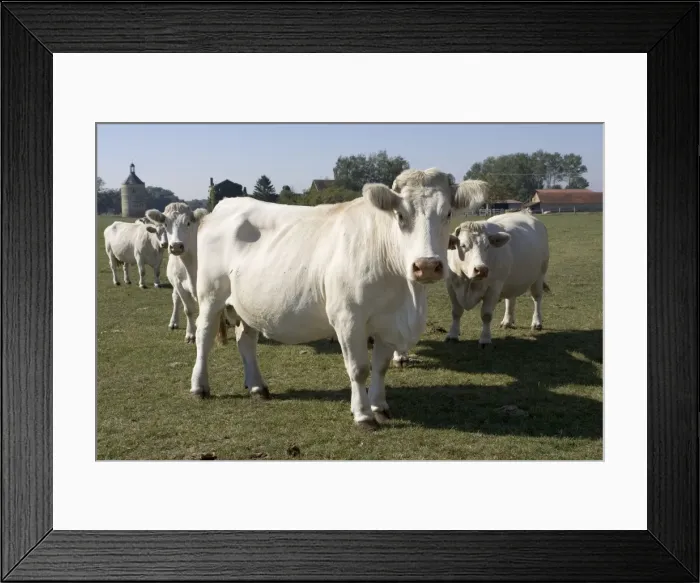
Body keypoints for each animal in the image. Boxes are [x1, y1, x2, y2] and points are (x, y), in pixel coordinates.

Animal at [145, 202, 209, 343]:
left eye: (188, 223)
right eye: (165, 224)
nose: (176, 246)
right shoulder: (180, 285)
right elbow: (188, 310)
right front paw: (191, 334)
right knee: (175, 299)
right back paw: (173, 322)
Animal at [189, 168, 488, 430]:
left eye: (447, 213)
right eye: (401, 215)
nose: (426, 266)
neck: (406, 296)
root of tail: (225, 205)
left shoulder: (388, 322)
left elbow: (380, 367)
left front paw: (380, 407)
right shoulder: (348, 318)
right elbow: (359, 369)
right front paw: (363, 414)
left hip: (247, 304)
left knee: (246, 341)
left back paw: (257, 387)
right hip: (210, 295)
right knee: (204, 337)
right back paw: (200, 386)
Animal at [443, 210, 550, 346]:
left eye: (487, 246)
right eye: (463, 245)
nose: (481, 269)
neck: (468, 282)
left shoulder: (493, 288)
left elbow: (486, 315)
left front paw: (485, 338)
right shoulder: (451, 286)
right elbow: (456, 312)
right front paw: (452, 334)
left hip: (539, 276)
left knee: (537, 298)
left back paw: (536, 322)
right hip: (510, 281)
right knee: (510, 299)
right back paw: (507, 321)